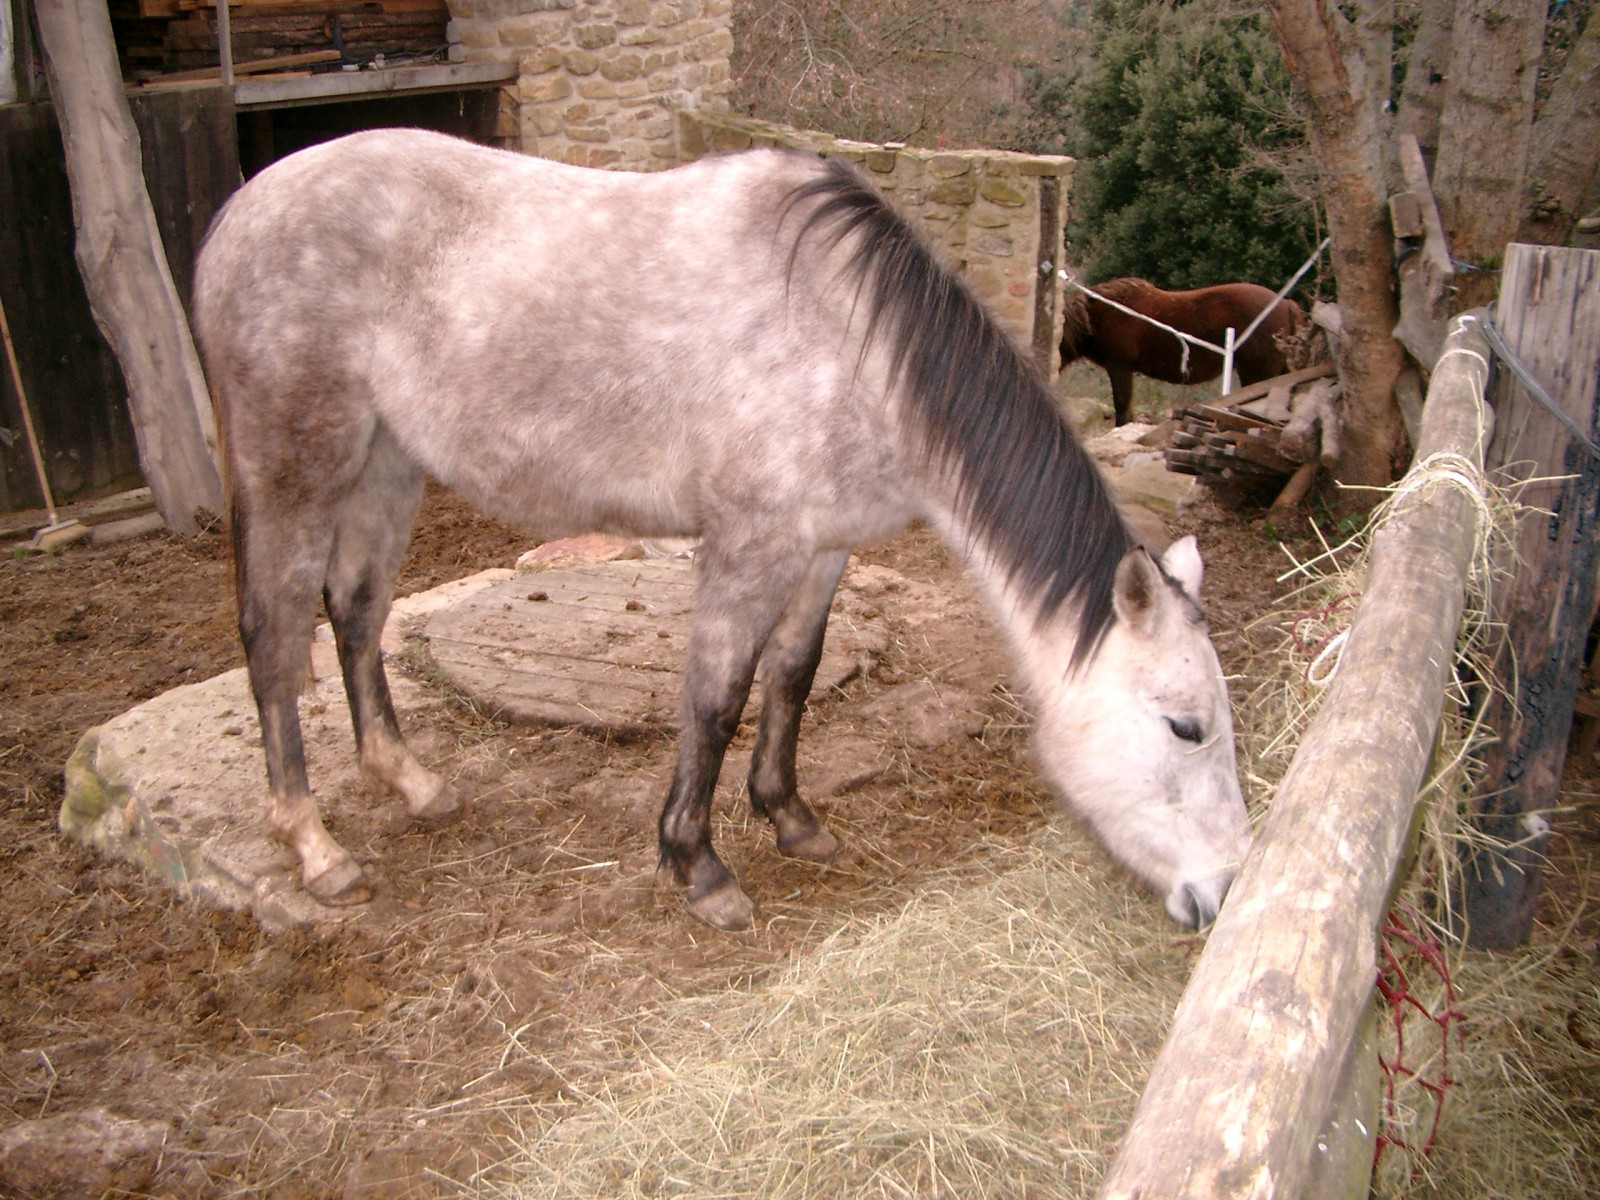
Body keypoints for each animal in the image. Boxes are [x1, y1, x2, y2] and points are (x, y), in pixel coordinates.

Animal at [194, 129, 1250, 932]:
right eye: (1186, 725)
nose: (1225, 891)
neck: (852, 339)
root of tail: (235, 216)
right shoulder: (749, 548)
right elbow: (716, 696)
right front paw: (697, 864)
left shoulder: (823, 548)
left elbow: (793, 675)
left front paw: (790, 816)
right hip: (296, 472)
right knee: (275, 636)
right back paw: (314, 844)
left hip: (385, 464)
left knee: (357, 609)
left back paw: (407, 779)